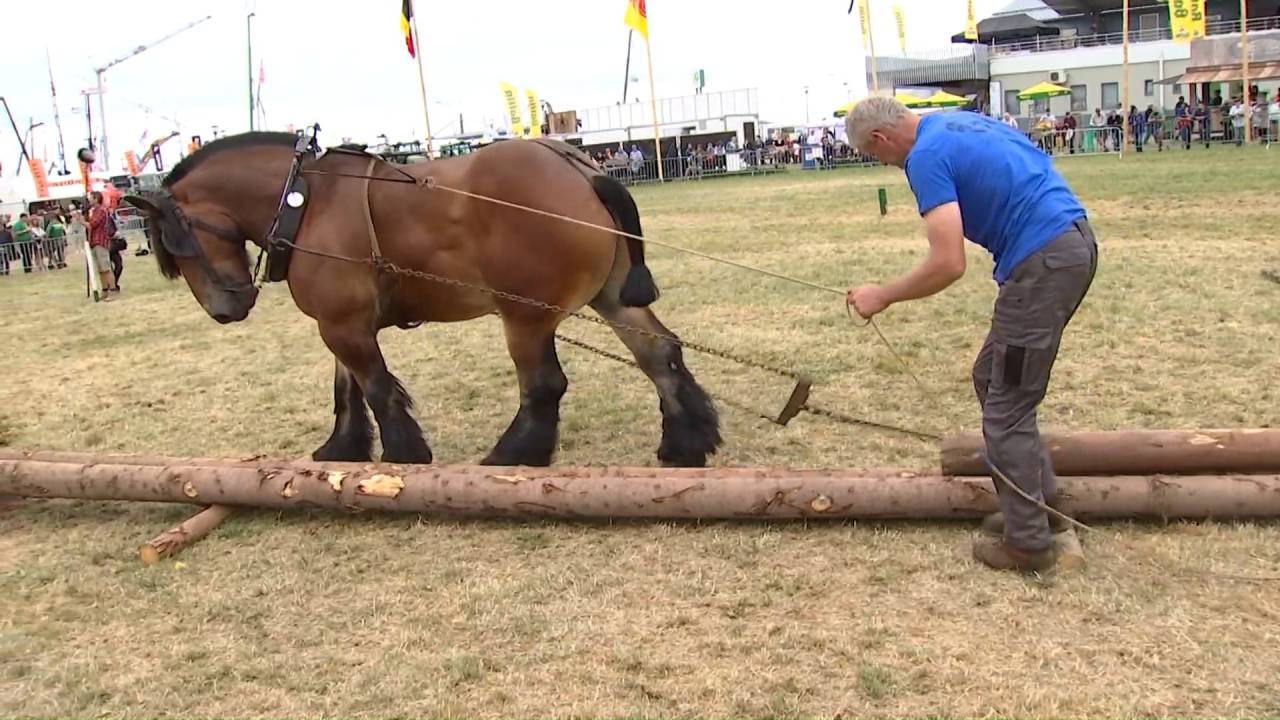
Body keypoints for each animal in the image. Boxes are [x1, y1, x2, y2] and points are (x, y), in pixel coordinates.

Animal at [124, 131, 727, 466]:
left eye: (175, 247)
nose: (226, 309)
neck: (308, 199)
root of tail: (577, 167)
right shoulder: (344, 324)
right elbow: (348, 392)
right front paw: (342, 450)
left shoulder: (343, 326)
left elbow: (377, 389)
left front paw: (404, 455)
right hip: (612, 298)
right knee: (661, 354)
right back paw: (685, 444)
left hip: (525, 317)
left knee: (544, 385)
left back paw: (512, 455)